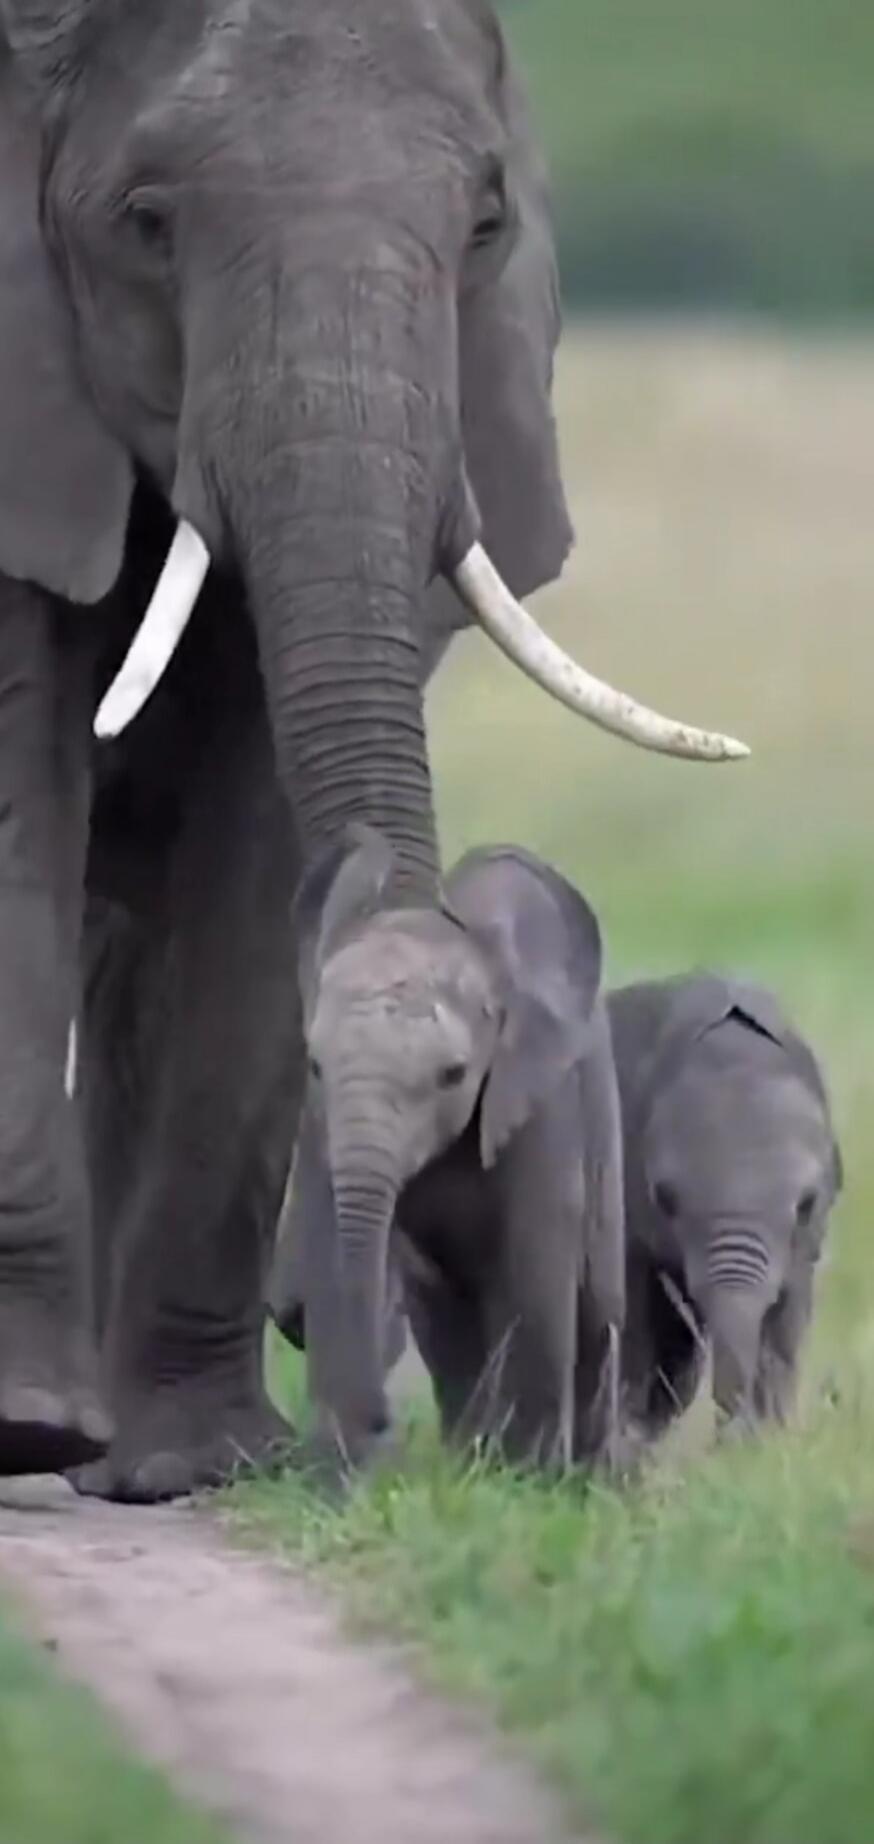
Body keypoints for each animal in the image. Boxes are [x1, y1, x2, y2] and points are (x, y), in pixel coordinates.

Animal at [273, 827, 625, 1472]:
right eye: (314, 1065)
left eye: (454, 1075)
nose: (384, 1422)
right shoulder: (320, 1120)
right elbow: (334, 1241)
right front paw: (344, 1470)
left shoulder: (539, 1106)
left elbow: (535, 1268)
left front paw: (528, 1479)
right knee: (449, 1328)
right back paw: (469, 1455)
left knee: (597, 1316)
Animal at [608, 974, 842, 1442]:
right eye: (665, 1198)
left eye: (806, 1205)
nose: (727, 1439)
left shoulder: (807, 1240)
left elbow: (788, 1318)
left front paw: (767, 1445)